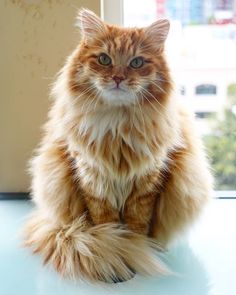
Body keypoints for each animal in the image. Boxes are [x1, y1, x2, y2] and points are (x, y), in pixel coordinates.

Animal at [23, 8, 213, 284]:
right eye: (104, 59)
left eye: (136, 63)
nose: (118, 78)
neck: (118, 126)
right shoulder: (93, 180)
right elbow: (106, 223)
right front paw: (119, 248)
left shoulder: (147, 183)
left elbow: (137, 224)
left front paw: (137, 249)